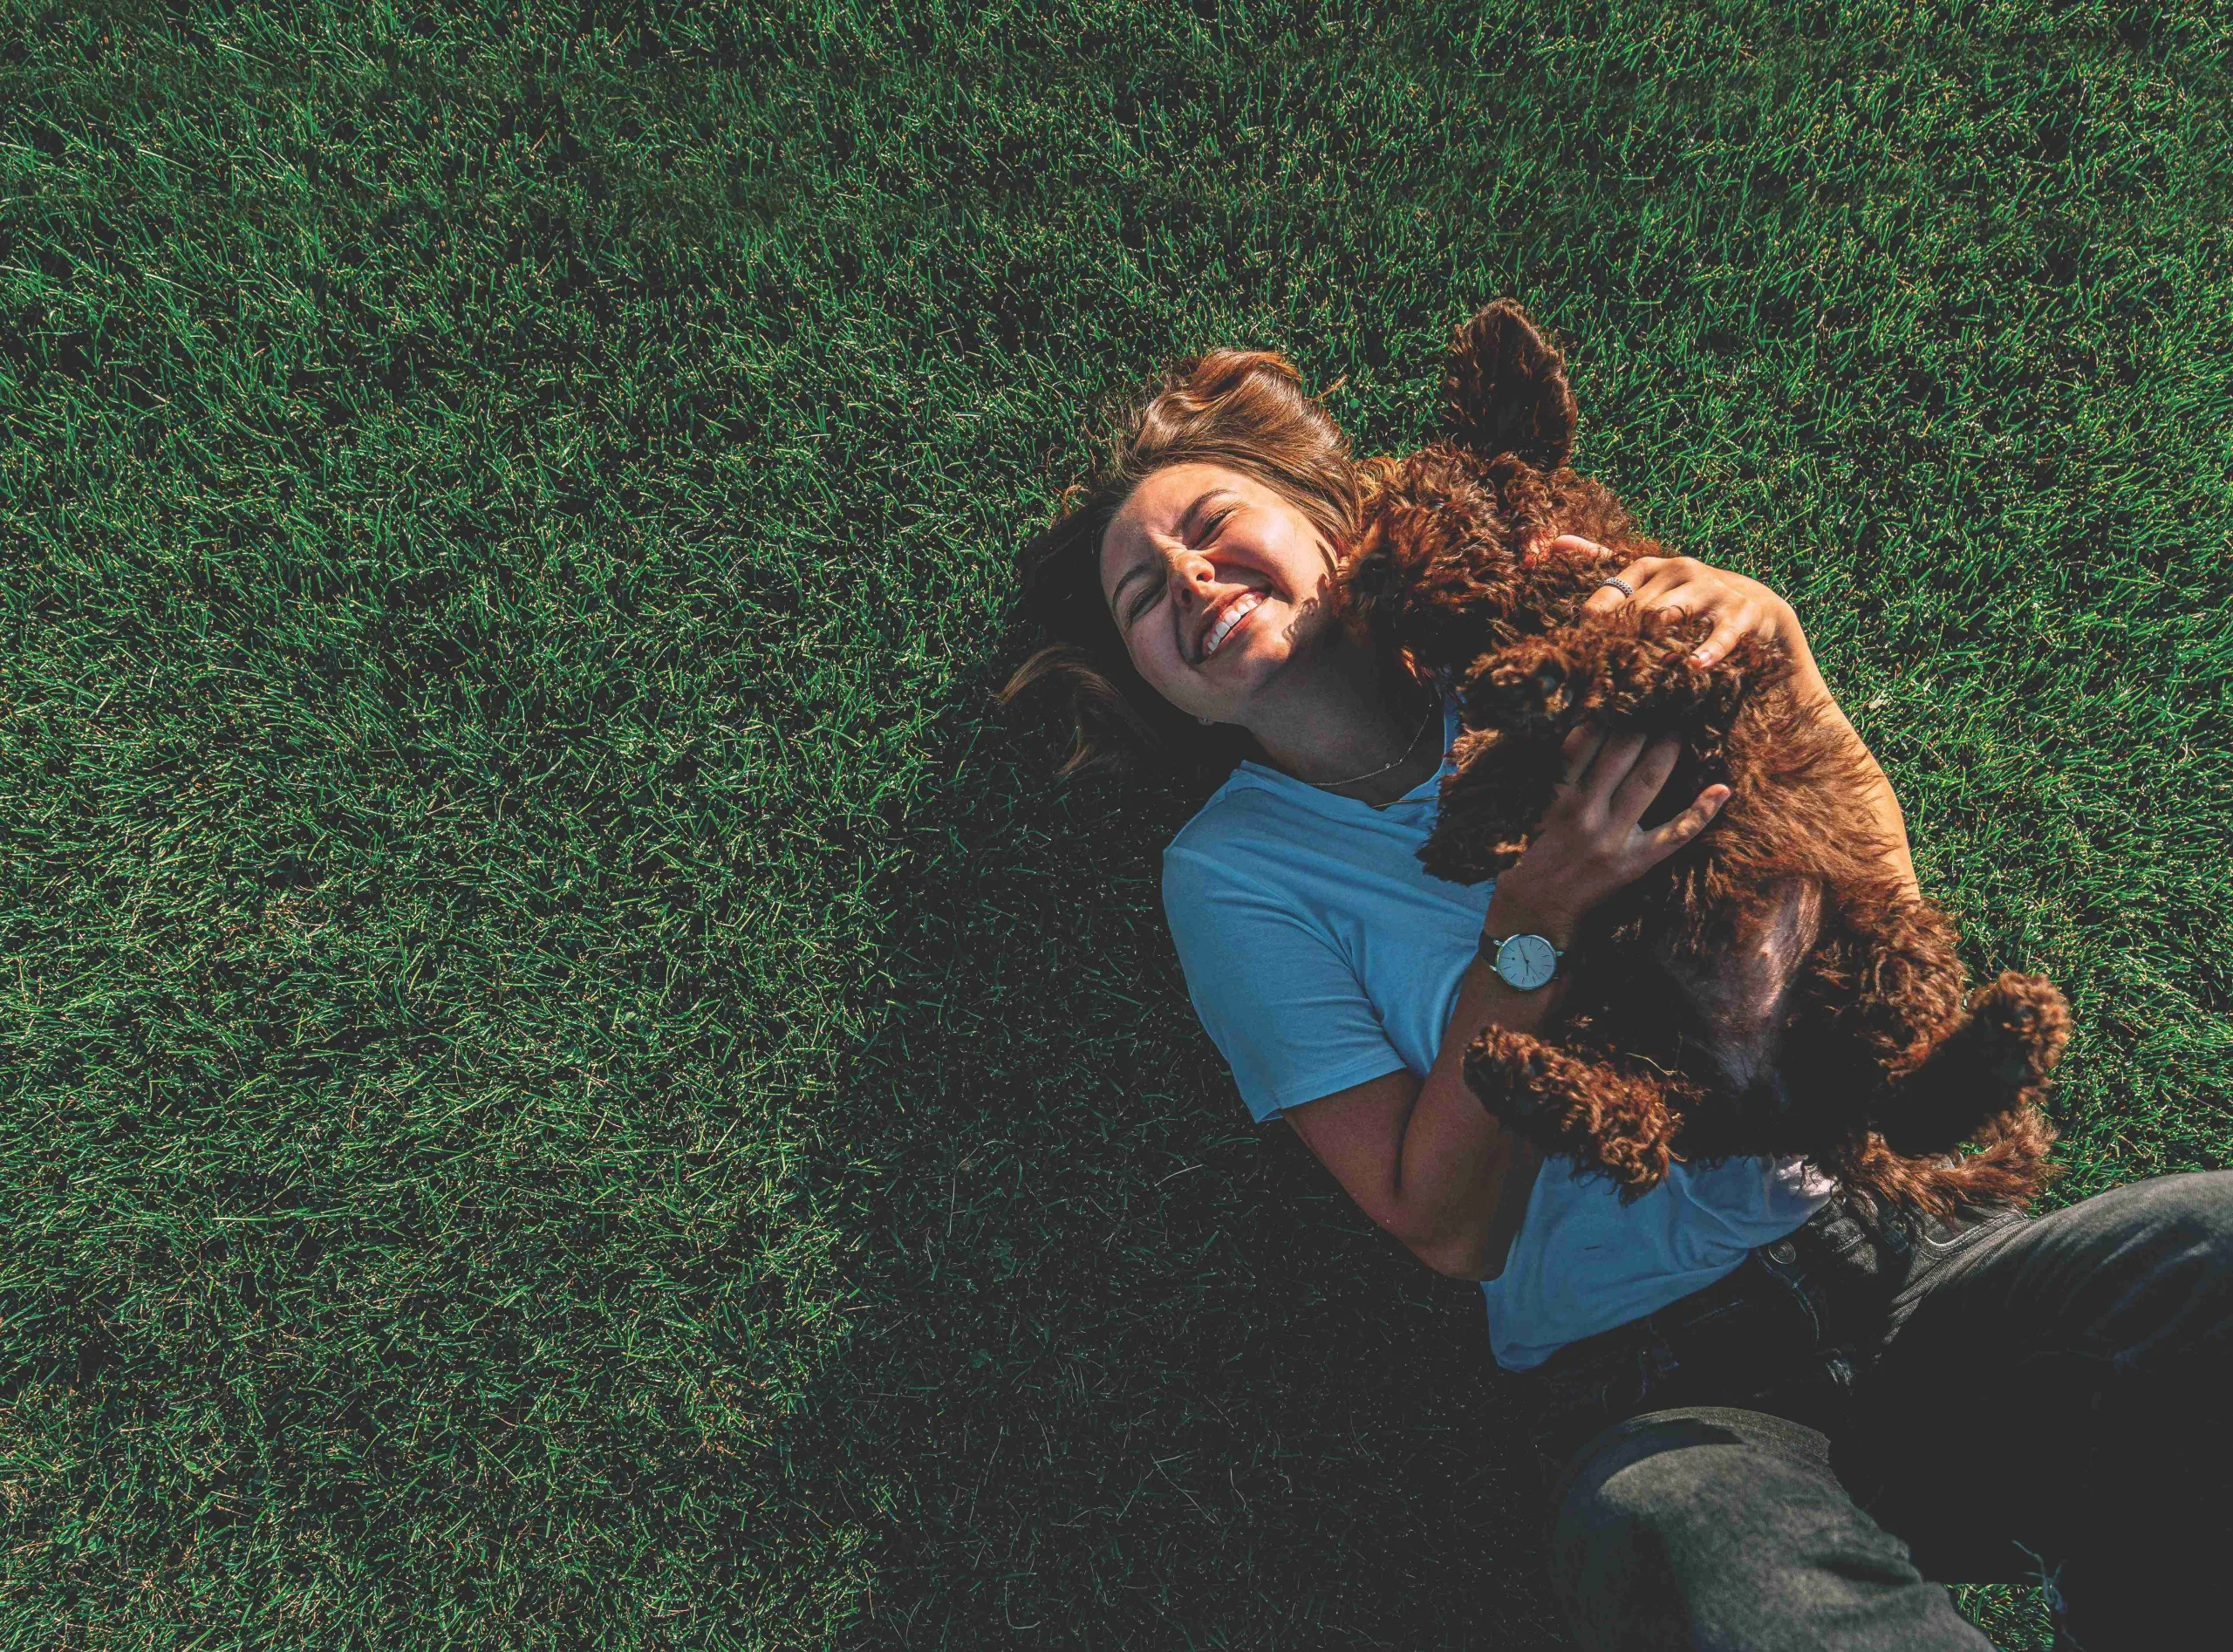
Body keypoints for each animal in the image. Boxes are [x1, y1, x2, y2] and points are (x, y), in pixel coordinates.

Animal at [1330, 304, 2063, 1223]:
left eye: (1414, 501)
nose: (1358, 578)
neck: (1530, 596)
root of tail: (1791, 1110)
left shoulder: (1711, 675)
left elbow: (1617, 656)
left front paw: (1531, 682)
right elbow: (1507, 749)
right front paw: (1473, 817)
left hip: (1879, 939)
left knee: (1901, 1098)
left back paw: (2009, 1037)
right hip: (1629, 1023)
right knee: (1643, 1139)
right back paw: (1525, 1077)